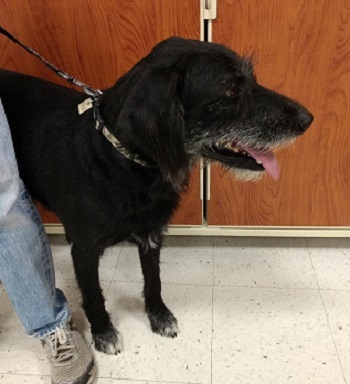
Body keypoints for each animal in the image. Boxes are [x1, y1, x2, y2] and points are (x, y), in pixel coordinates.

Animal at [0, 36, 312, 354]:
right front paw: (103, 332)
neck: (123, 162)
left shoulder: (151, 232)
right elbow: (93, 293)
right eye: (231, 89)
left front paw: (159, 316)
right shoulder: (84, 249)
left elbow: (154, 280)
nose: (307, 119)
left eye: (251, 79)